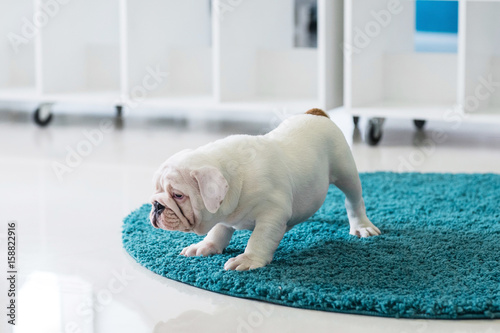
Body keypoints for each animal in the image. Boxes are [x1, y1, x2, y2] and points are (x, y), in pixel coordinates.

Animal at [150, 109, 380, 270]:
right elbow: (218, 231)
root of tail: (316, 113)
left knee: (354, 200)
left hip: (346, 172)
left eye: (178, 195)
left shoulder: (272, 215)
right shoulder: (224, 214)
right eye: (155, 192)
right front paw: (206, 246)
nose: (157, 206)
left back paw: (362, 226)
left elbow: (259, 238)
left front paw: (248, 259)